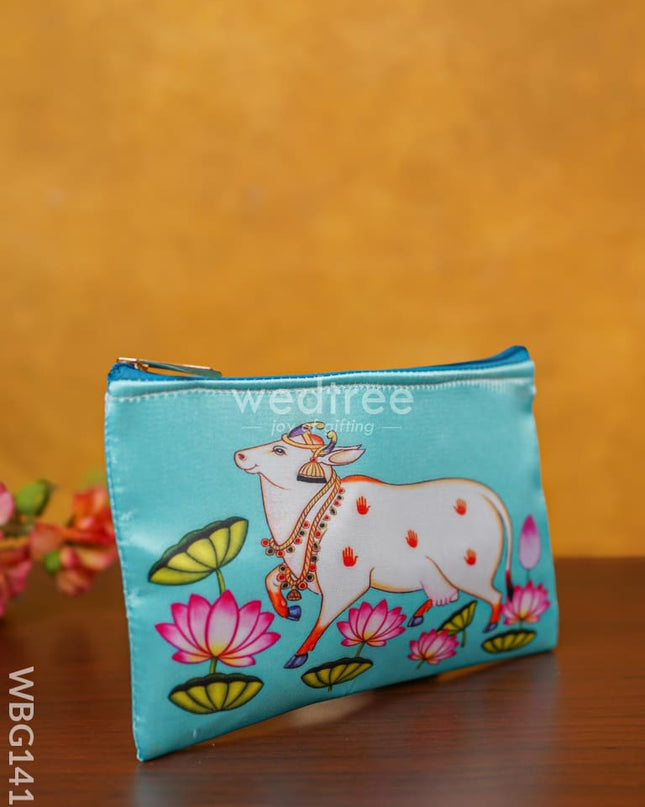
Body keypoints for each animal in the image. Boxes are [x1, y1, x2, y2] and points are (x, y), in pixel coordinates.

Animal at [235, 421, 513, 669]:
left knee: (494, 595)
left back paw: (491, 626)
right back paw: (419, 616)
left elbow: (322, 621)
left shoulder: (347, 585)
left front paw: (299, 655)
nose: (239, 454)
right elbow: (270, 580)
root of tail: (483, 493)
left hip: (470, 569)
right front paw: (289, 611)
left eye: (279, 450)